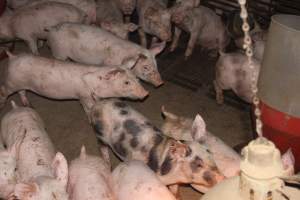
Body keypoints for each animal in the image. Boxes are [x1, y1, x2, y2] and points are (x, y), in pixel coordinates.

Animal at [89, 99, 225, 196]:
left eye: (211, 154)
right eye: (199, 164)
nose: (222, 178)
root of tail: (98, 104)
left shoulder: (176, 182)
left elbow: (175, 190)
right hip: (99, 134)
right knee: (102, 148)